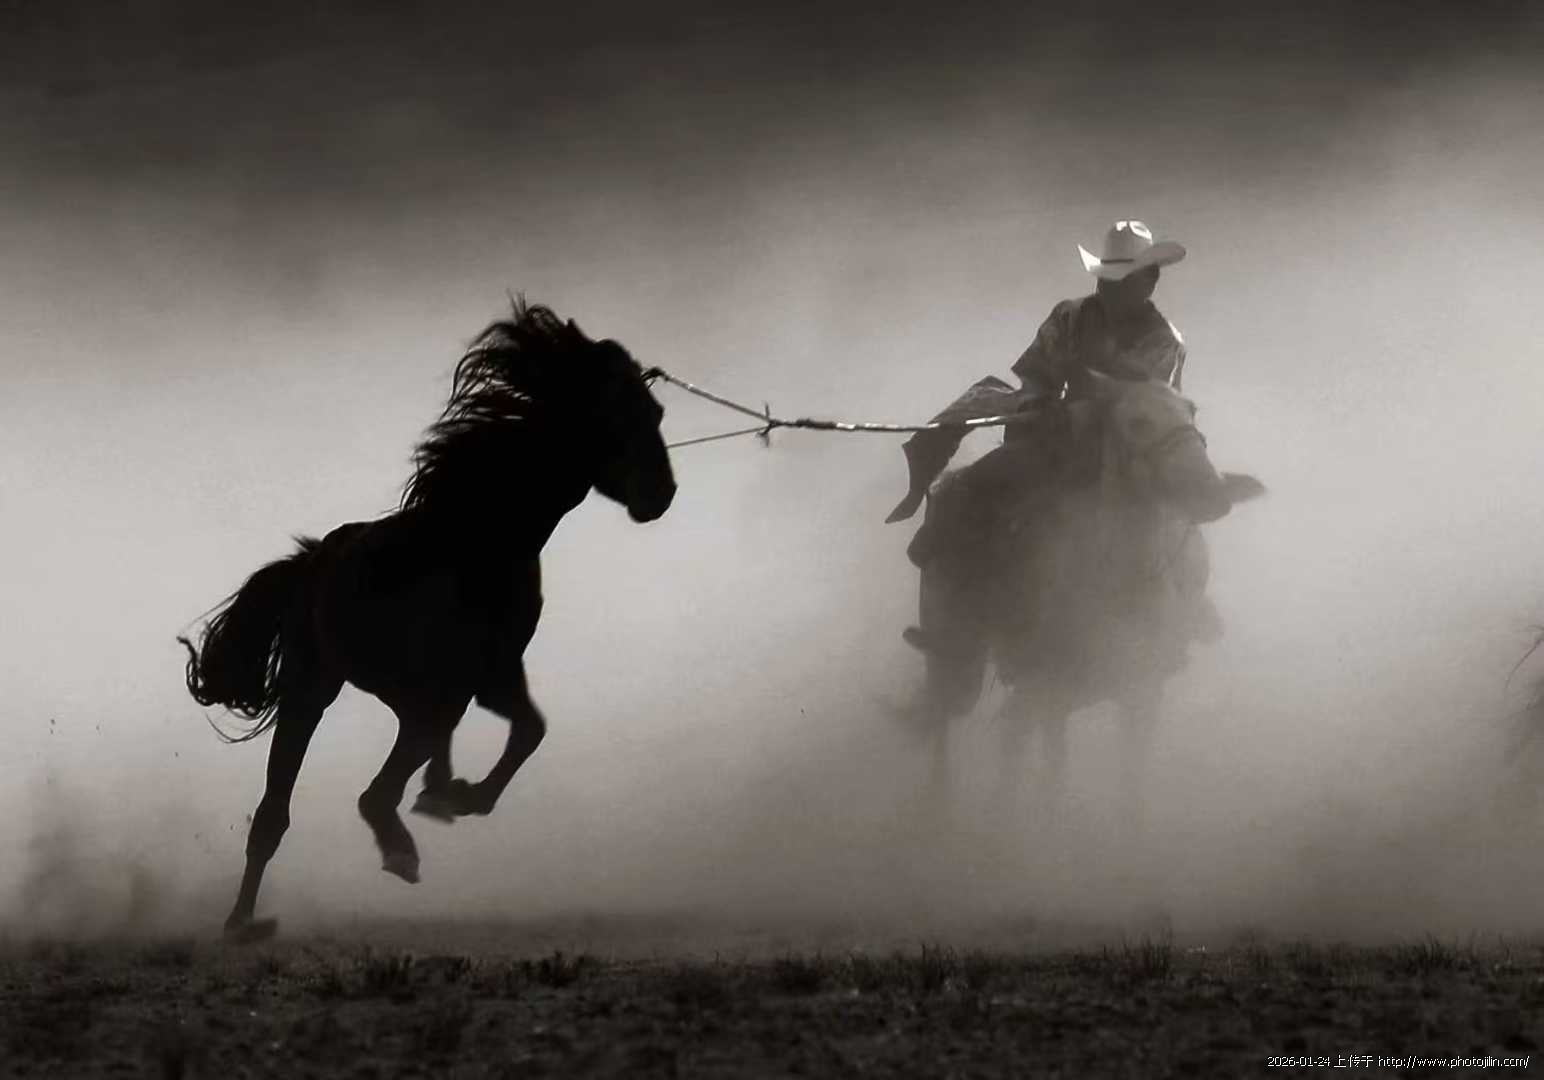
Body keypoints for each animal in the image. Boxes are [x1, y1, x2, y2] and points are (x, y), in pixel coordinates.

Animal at [178, 301, 676, 941]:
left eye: (656, 411)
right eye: (618, 414)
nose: (662, 494)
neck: (477, 542)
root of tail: (313, 558)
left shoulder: (492, 674)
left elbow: (529, 730)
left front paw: (455, 798)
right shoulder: (456, 682)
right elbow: (389, 785)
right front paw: (416, 830)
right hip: (312, 689)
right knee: (276, 813)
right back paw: (244, 920)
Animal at [905, 372, 1262, 827]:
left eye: (1191, 410)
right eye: (1137, 421)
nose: (1210, 493)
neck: (1113, 584)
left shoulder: (1141, 692)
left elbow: (1129, 785)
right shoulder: (1050, 692)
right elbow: (1053, 774)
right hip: (952, 659)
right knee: (944, 723)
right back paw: (940, 814)